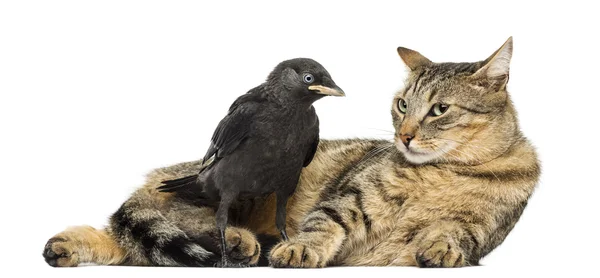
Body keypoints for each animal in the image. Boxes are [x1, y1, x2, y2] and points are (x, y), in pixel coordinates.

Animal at [42, 37, 540, 268]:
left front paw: (439, 246)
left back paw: (67, 246)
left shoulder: (486, 229)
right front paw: (299, 249)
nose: (404, 136)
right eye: (402, 105)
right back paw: (240, 241)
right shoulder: (349, 199)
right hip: (217, 189)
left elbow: (457, 233)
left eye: (439, 110)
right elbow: (324, 223)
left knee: (130, 241)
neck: (445, 170)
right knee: (169, 219)